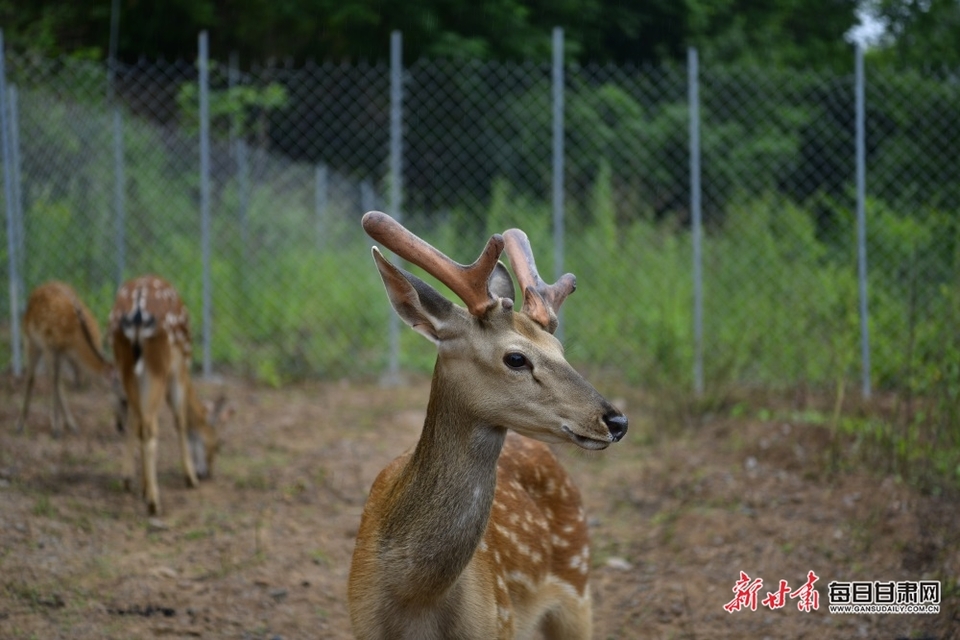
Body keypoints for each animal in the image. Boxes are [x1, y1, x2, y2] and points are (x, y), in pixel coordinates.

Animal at [15, 282, 124, 438]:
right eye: (123, 400)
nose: (121, 428)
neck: (74, 338)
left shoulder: (62, 352)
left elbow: (58, 382)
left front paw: (64, 425)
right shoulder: (49, 346)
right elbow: (52, 382)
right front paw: (55, 429)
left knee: (57, 381)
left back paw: (71, 424)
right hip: (30, 339)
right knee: (32, 377)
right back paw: (20, 424)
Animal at [108, 276, 227, 516]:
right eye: (218, 443)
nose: (208, 473)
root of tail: (138, 311)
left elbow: (134, 419)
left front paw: (133, 481)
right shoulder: (180, 368)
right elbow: (180, 420)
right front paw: (190, 478)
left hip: (126, 362)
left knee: (141, 421)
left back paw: (140, 487)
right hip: (159, 364)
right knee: (151, 426)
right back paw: (154, 502)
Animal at [348, 214, 628, 640]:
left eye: (560, 350)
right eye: (516, 358)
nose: (616, 420)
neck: (416, 600)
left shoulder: (499, 623)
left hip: (578, 589)